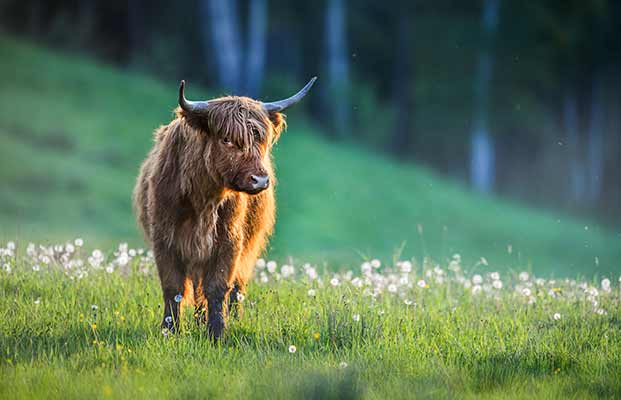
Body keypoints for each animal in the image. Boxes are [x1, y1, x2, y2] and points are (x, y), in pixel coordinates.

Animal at [131, 77, 314, 338]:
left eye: (261, 139)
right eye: (226, 139)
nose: (260, 180)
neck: (203, 198)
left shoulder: (229, 240)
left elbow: (218, 287)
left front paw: (216, 332)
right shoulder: (165, 238)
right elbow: (173, 287)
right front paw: (170, 329)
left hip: (249, 244)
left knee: (236, 285)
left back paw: (230, 318)